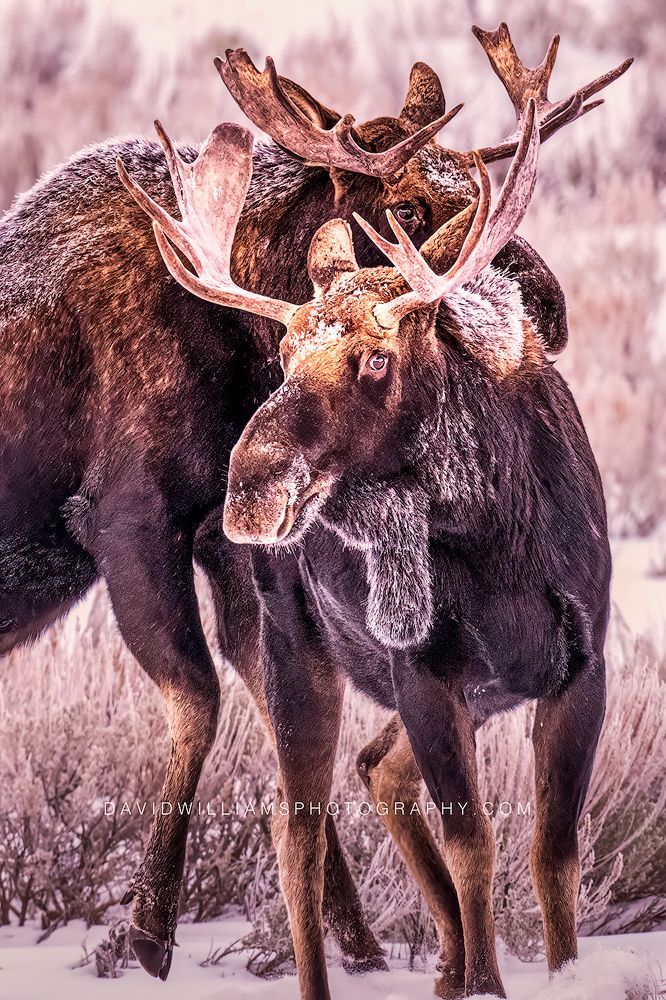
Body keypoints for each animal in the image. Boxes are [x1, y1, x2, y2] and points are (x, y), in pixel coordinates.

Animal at [0, 21, 628, 987]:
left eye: (467, 176)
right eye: (403, 206)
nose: (545, 308)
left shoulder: (229, 550)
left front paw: (366, 940)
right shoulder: (128, 517)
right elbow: (201, 702)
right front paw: (148, 928)